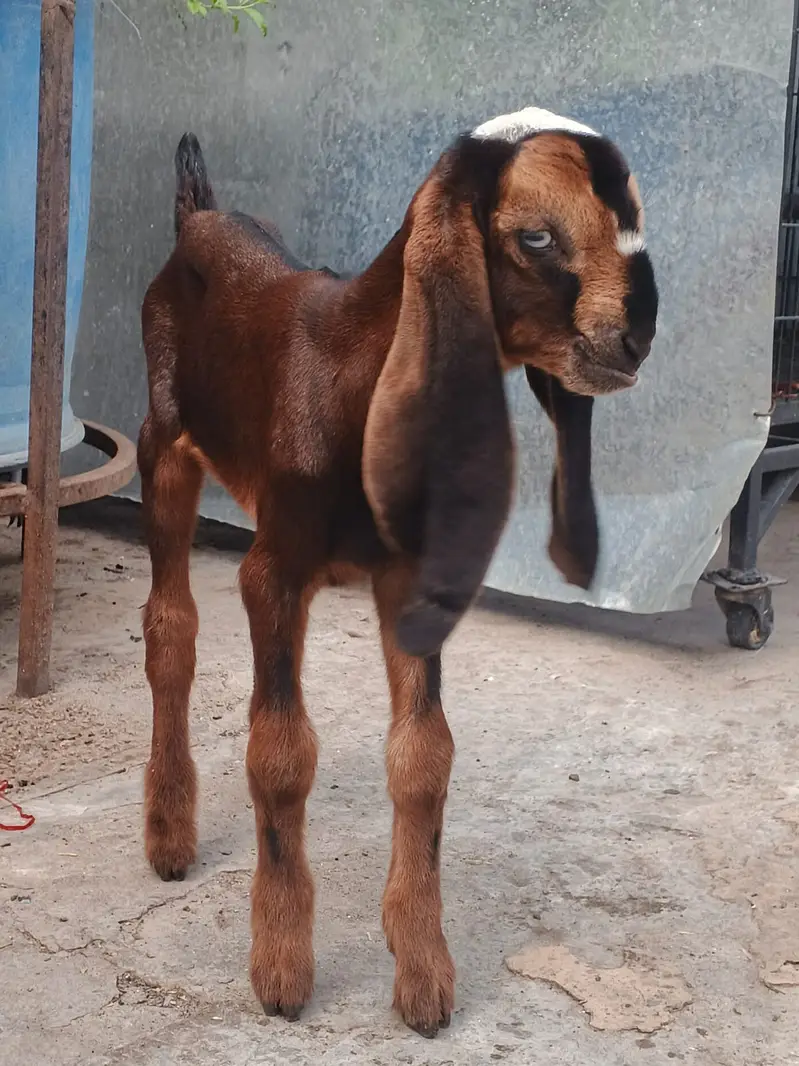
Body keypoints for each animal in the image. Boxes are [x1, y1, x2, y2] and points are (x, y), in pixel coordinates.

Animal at [138, 107, 658, 1037]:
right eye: (536, 234)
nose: (633, 339)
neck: (352, 380)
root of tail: (200, 213)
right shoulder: (272, 571)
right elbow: (279, 754)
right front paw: (281, 968)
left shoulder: (414, 580)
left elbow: (424, 756)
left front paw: (421, 969)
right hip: (164, 450)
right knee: (170, 630)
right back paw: (168, 833)